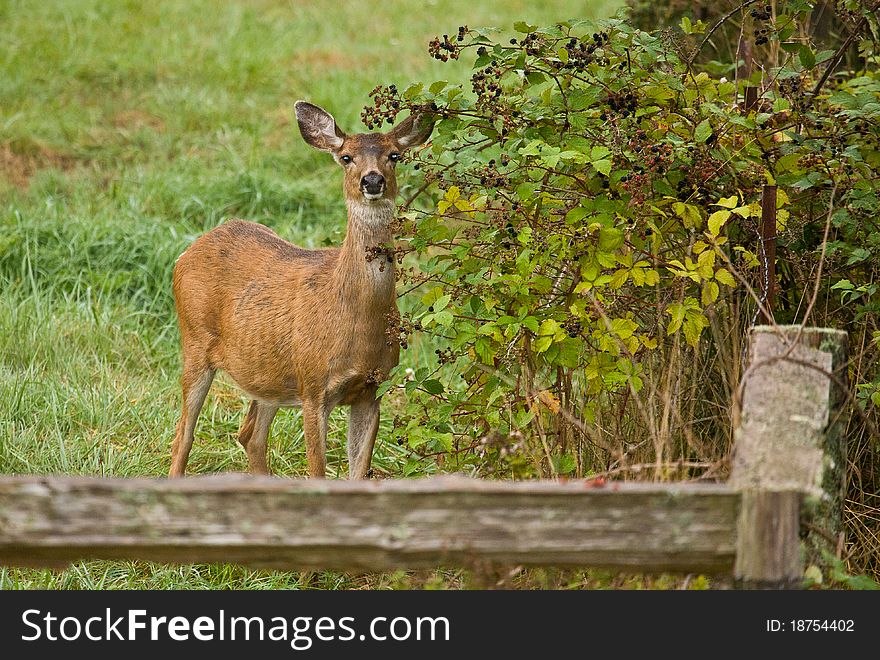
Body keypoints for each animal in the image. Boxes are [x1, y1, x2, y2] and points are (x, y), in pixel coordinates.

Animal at [168, 99, 434, 480]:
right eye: (346, 157)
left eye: (394, 155)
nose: (372, 180)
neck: (356, 317)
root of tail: (188, 252)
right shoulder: (314, 385)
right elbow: (317, 471)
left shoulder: (373, 389)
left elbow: (359, 472)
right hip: (195, 341)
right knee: (183, 437)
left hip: (267, 371)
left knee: (250, 433)